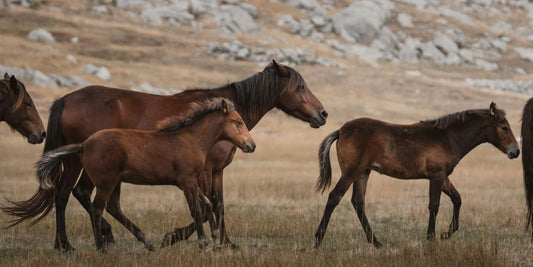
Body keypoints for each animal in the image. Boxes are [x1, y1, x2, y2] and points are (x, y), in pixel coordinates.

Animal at [31, 98, 256, 251]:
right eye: (238, 122)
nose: (251, 145)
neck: (191, 139)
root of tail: (85, 144)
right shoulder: (187, 182)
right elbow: (198, 210)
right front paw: (203, 244)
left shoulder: (190, 182)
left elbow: (208, 204)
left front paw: (215, 240)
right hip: (106, 182)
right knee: (97, 208)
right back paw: (102, 248)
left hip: (114, 182)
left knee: (112, 207)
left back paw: (146, 242)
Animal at [314, 102, 516, 249]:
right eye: (504, 127)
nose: (516, 151)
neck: (448, 137)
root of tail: (340, 131)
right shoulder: (436, 176)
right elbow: (434, 206)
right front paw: (431, 238)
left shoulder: (443, 177)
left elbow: (457, 199)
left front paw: (446, 234)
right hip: (351, 172)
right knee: (334, 197)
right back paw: (318, 241)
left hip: (363, 172)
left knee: (358, 202)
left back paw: (376, 242)